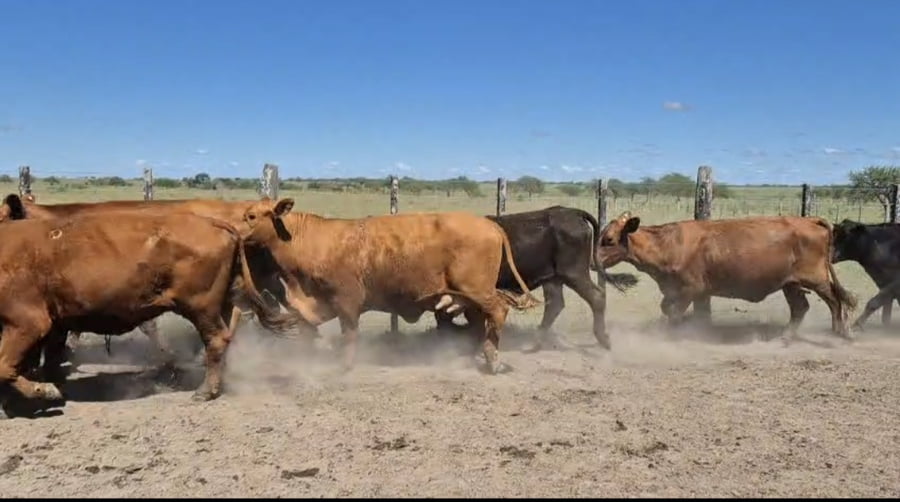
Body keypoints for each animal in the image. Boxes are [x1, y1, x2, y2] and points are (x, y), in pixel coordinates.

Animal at [0, 210, 298, 417]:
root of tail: (213, 223)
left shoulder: (28, 324)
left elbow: (5, 367)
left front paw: (45, 391)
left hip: (201, 308)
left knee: (215, 340)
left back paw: (204, 392)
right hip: (221, 304)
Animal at [236, 198, 541, 374]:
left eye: (251, 216)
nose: (233, 231)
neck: (307, 239)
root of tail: (490, 225)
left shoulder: (346, 299)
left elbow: (349, 333)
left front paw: (344, 365)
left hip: (478, 291)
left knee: (498, 311)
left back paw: (493, 360)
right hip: (468, 298)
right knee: (481, 321)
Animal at [432, 206, 639, 351]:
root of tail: (572, 212)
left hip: (574, 273)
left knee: (596, 297)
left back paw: (604, 339)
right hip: (553, 279)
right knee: (555, 304)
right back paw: (536, 343)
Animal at [594, 211, 858, 343]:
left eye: (608, 239)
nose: (592, 260)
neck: (668, 244)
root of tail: (808, 220)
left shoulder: (690, 289)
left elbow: (673, 313)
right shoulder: (673, 290)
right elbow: (667, 309)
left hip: (817, 279)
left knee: (836, 301)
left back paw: (840, 332)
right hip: (790, 284)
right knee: (800, 308)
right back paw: (785, 337)